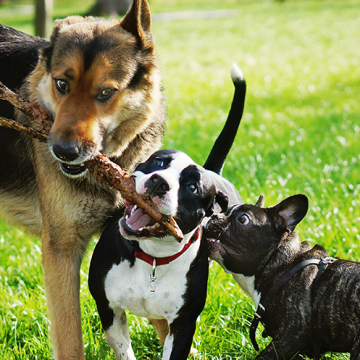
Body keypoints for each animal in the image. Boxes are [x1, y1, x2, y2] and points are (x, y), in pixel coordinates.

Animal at [0, 1, 166, 358]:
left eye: (106, 92)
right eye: (62, 84)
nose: (63, 152)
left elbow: (164, 321)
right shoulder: (61, 250)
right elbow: (70, 340)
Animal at [88, 63, 245, 358]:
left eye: (192, 187)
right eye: (159, 162)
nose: (159, 182)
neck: (152, 258)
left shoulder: (183, 325)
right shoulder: (109, 310)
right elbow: (123, 349)